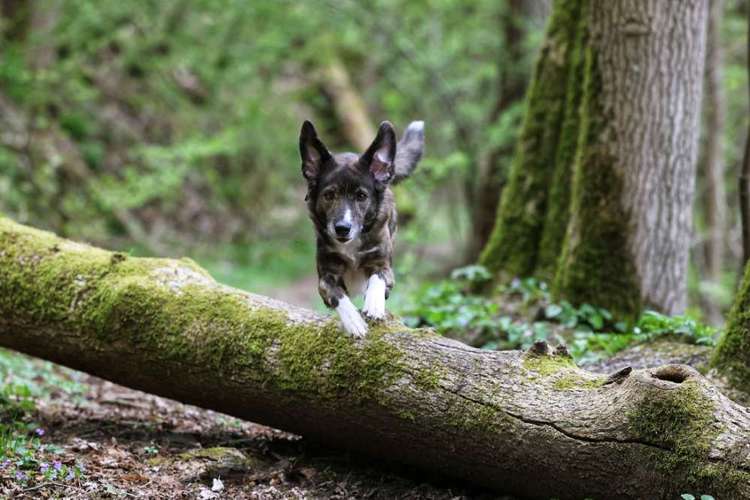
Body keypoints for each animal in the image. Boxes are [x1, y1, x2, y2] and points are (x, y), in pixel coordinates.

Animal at [302, 118, 428, 336]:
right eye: (329, 195)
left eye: (361, 196)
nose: (342, 228)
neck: (351, 244)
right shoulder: (325, 278)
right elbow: (336, 294)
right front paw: (353, 321)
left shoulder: (385, 267)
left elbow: (378, 278)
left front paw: (374, 305)